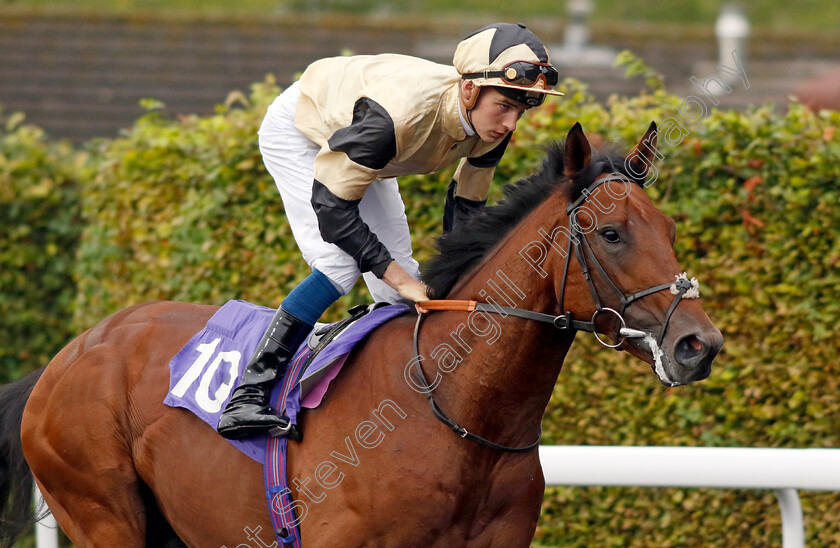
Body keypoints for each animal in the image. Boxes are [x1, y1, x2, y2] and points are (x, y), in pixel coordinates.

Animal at [1, 123, 720, 548]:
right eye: (611, 233)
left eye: (670, 231)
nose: (699, 344)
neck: (456, 414)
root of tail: (65, 357)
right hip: (99, 510)